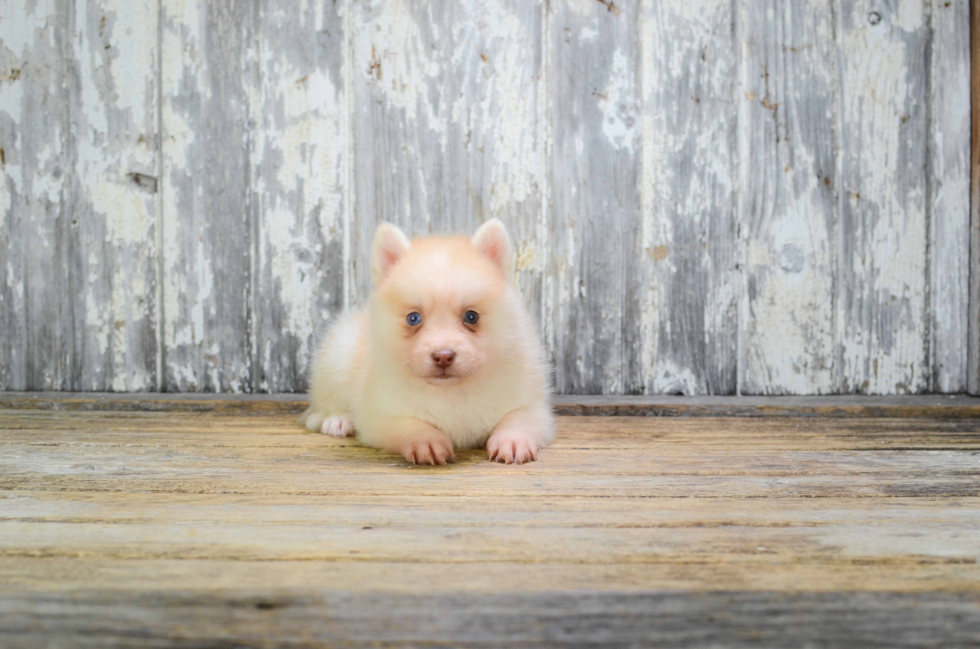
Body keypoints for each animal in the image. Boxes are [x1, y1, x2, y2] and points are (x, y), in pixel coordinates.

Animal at [302, 220, 556, 464]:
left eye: (471, 316)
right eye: (413, 318)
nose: (443, 356)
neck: (451, 391)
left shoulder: (531, 405)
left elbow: (517, 419)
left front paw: (512, 441)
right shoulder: (379, 416)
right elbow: (409, 424)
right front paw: (426, 441)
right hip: (338, 356)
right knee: (323, 404)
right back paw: (338, 420)